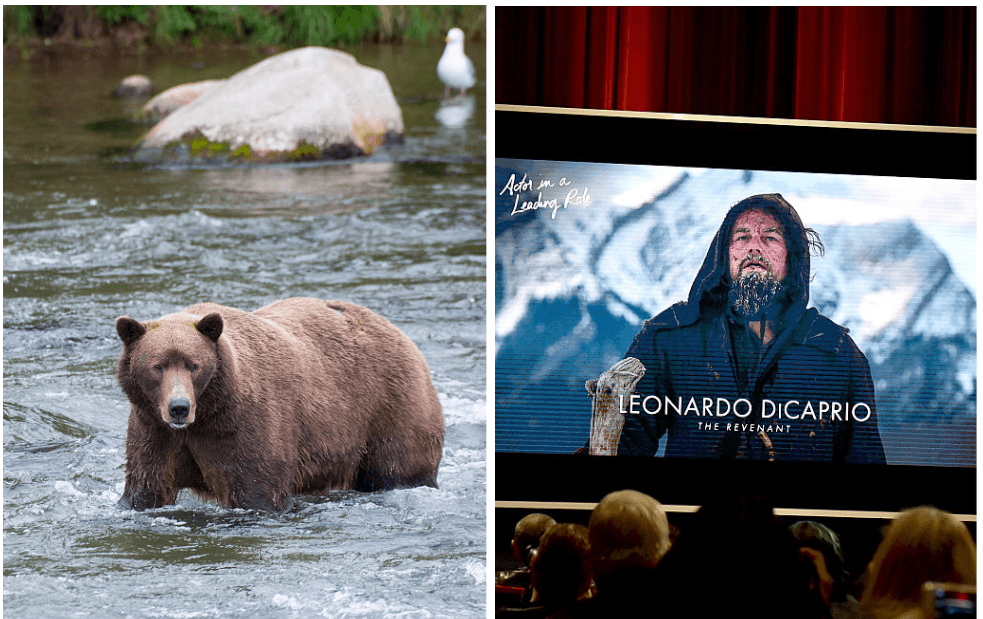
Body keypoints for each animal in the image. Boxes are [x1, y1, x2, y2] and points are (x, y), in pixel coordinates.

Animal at [112, 298, 446, 512]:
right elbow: (146, 486)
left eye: (194, 365)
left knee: (398, 467)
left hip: (391, 408)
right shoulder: (153, 429)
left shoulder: (244, 425)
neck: (206, 414)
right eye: (157, 366)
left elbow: (257, 490)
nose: (179, 407)